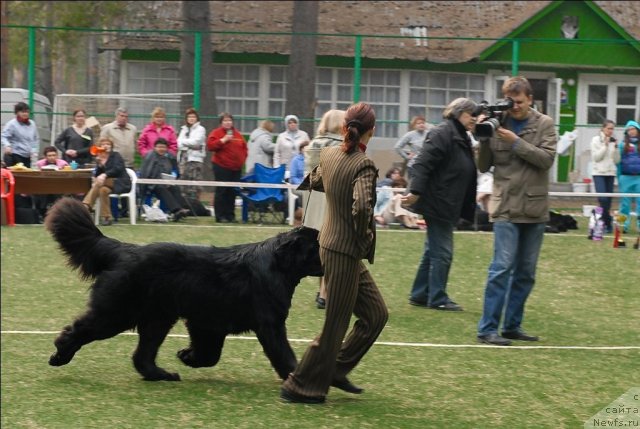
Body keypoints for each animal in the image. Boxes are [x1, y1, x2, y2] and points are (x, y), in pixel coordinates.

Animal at [47, 197, 322, 382]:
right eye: (318, 245)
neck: (278, 264)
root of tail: (124, 250)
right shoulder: (269, 323)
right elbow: (283, 354)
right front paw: (294, 377)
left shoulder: (209, 323)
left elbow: (210, 354)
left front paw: (186, 356)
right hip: (118, 313)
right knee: (79, 330)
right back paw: (60, 355)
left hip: (157, 318)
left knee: (142, 355)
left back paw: (161, 374)